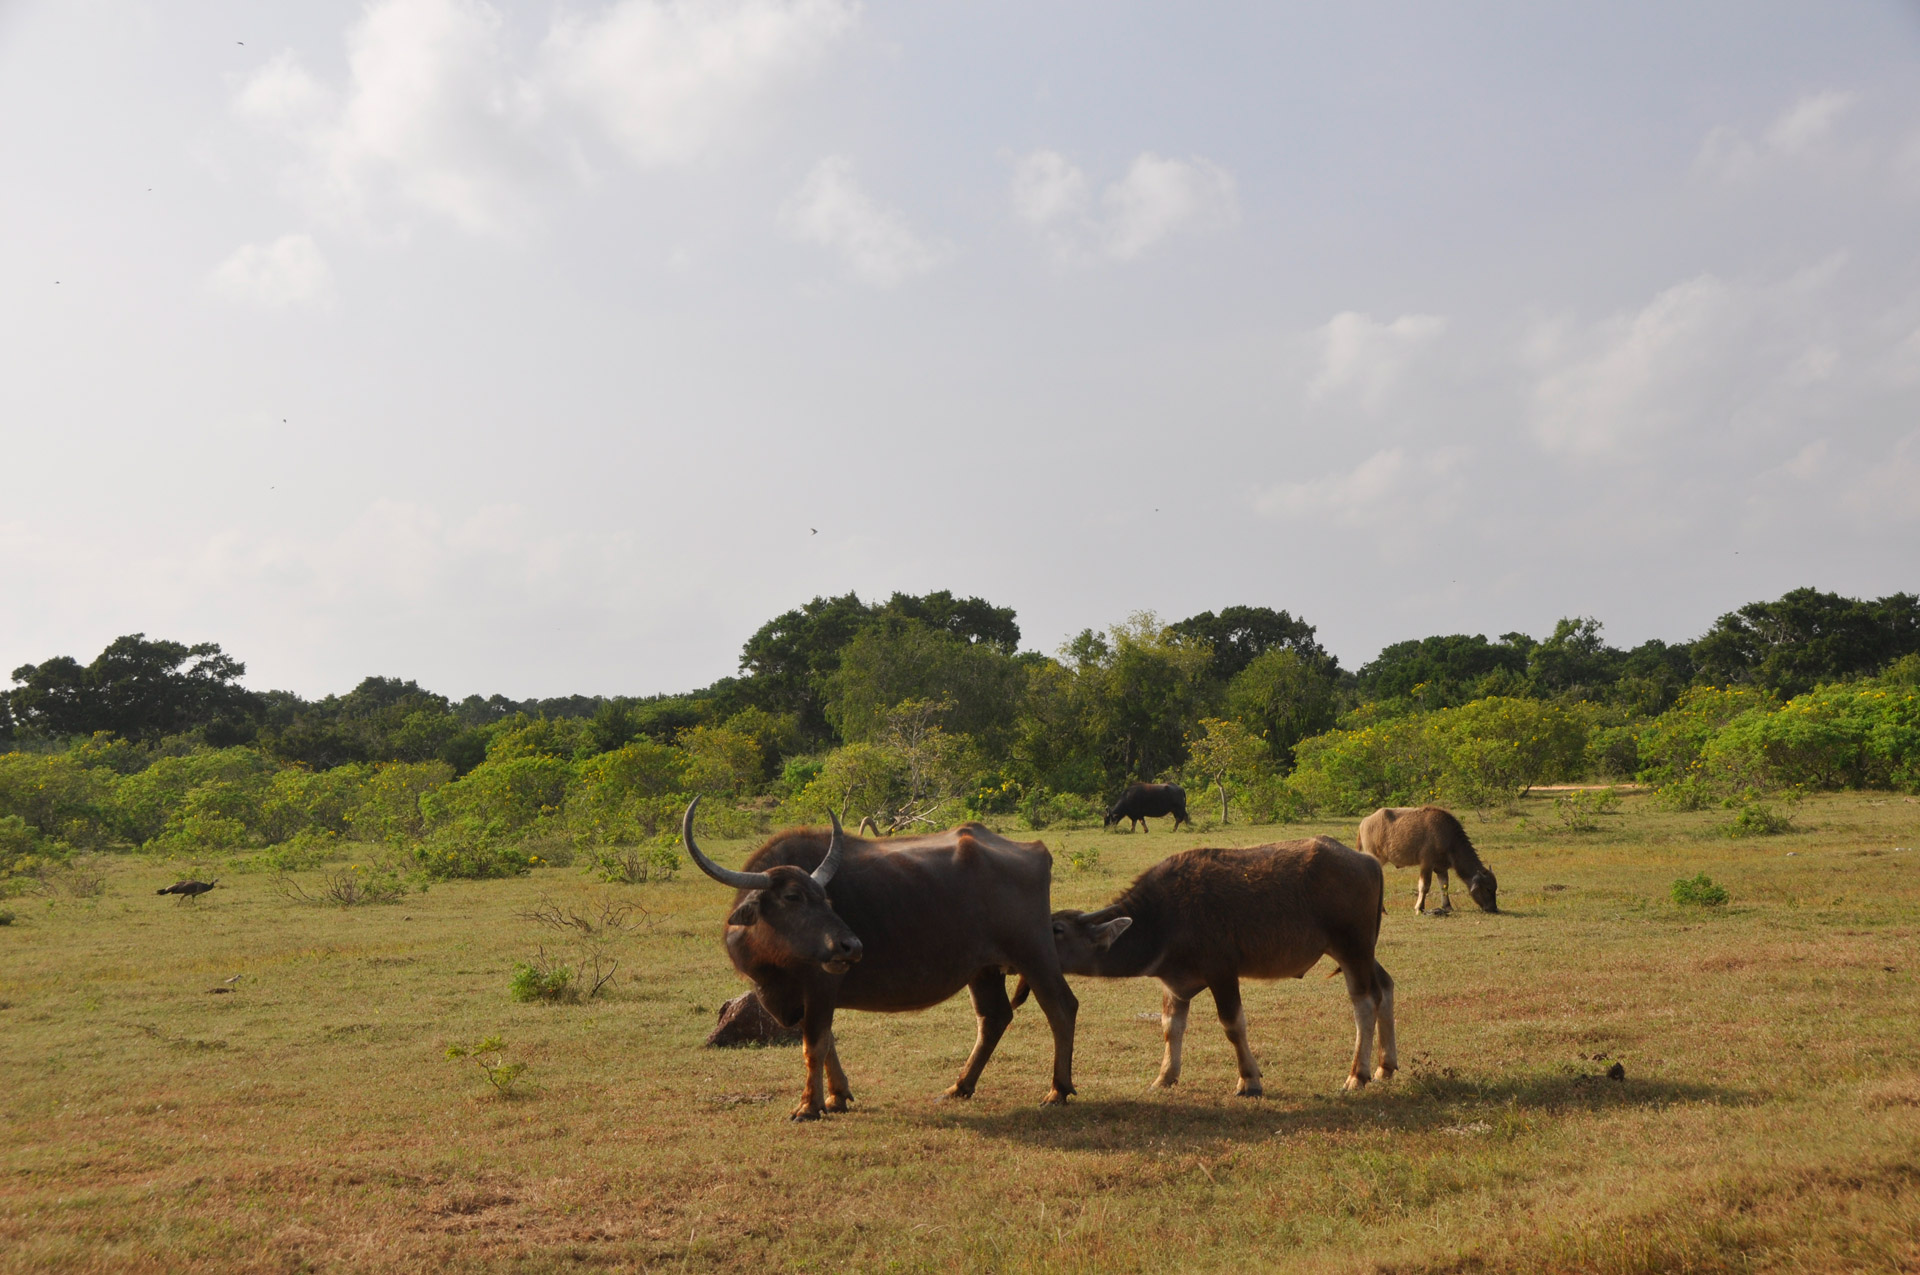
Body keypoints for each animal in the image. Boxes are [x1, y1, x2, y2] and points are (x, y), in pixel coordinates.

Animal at [687, 802, 1082, 1121]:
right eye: (792, 897)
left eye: (825, 898)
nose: (851, 946)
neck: (774, 963)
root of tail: (1034, 850)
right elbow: (827, 1043)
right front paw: (837, 1096)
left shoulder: (821, 986)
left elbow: (814, 1044)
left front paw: (808, 1106)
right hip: (983, 970)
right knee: (994, 1017)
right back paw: (959, 1087)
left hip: (1035, 954)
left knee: (1061, 1007)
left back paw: (1058, 1089)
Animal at [1013, 837, 1405, 1098]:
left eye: (1057, 929)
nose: (1030, 945)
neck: (1163, 917)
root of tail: (1366, 861)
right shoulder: (1174, 984)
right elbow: (1171, 1027)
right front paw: (1165, 1076)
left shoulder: (1222, 973)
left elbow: (1232, 1025)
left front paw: (1249, 1080)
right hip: (1358, 951)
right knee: (1384, 987)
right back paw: (1385, 1066)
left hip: (1352, 948)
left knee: (1363, 1003)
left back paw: (1358, 1074)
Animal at [1351, 806, 1497, 917]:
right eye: (1488, 889)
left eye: (1495, 888)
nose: (1493, 909)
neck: (1448, 836)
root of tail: (1364, 822)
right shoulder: (1427, 863)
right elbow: (1424, 886)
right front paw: (1419, 908)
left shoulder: (1441, 868)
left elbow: (1444, 886)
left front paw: (1447, 906)